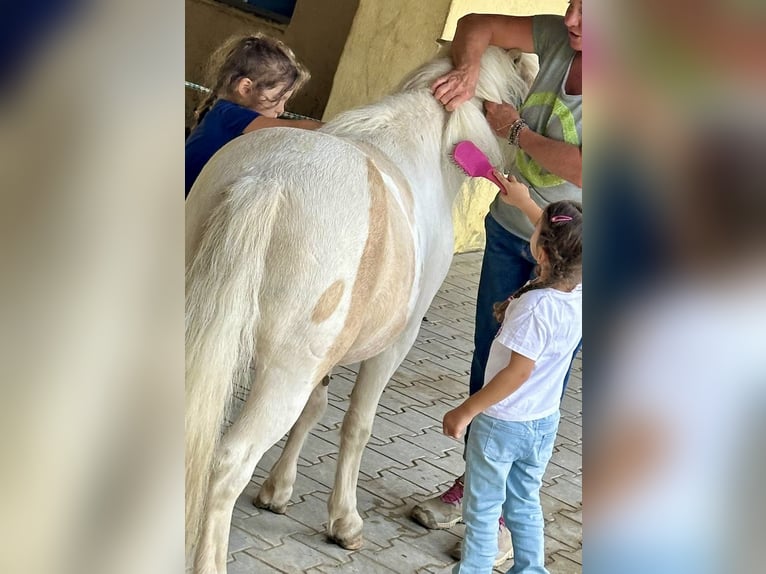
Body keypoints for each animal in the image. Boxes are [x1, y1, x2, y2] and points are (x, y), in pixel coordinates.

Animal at [187, 47, 536, 572]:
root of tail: (267, 180)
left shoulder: (328, 356)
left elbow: (316, 408)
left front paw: (277, 492)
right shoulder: (395, 344)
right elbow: (358, 424)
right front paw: (345, 522)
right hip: (282, 376)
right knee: (228, 462)